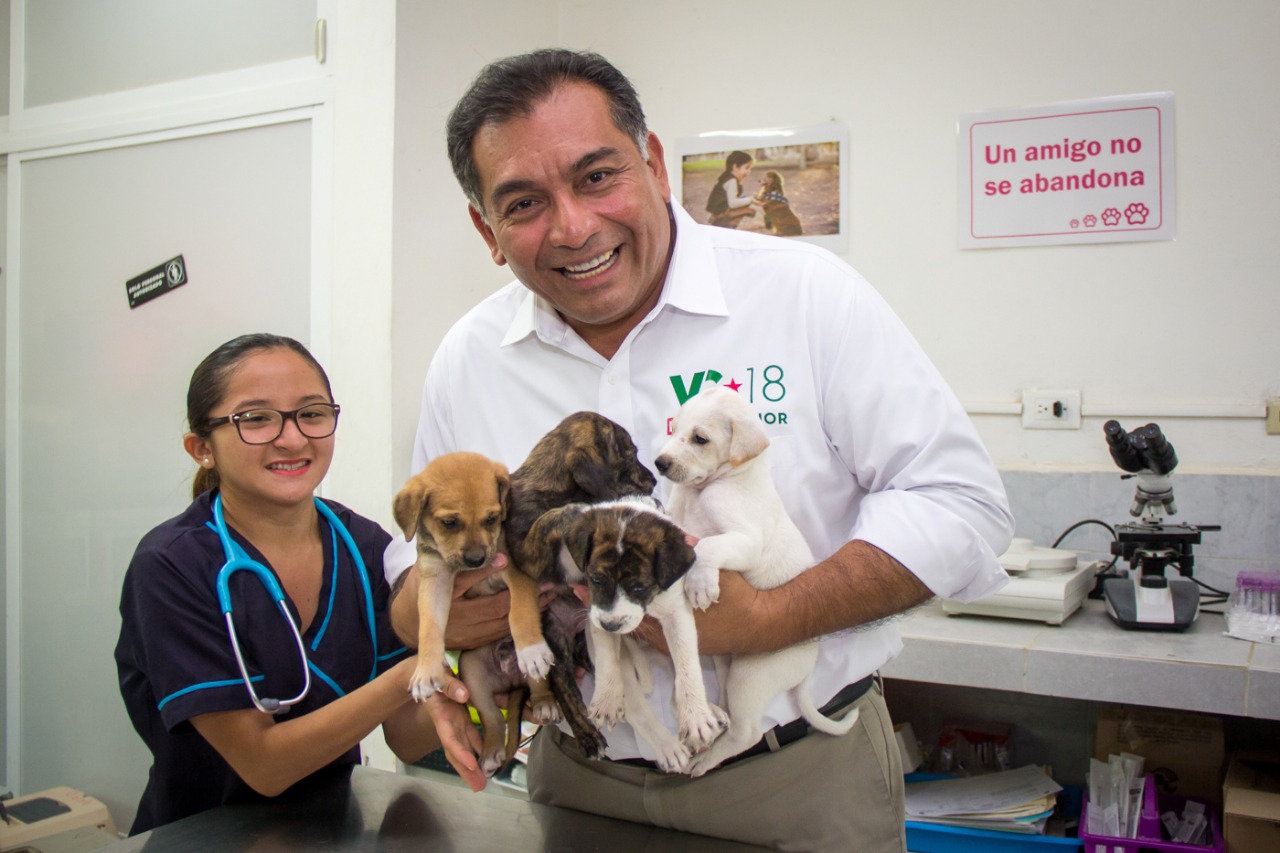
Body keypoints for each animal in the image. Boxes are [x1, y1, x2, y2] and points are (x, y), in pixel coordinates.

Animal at [522, 494, 732, 768]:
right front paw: (608, 699)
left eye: (640, 587)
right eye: (596, 579)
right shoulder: (594, 611)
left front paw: (695, 716)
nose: (612, 627)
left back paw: (707, 714)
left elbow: (687, 667)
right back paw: (667, 747)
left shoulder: (676, 613)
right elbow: (606, 653)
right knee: (632, 707)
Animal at [660, 384, 860, 778]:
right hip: (727, 668)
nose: (659, 462)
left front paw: (700, 584)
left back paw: (706, 760)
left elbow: (707, 545)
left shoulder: (745, 540)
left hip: (749, 676)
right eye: (674, 429)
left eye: (700, 438)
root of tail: (808, 664)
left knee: (748, 731)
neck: (704, 491)